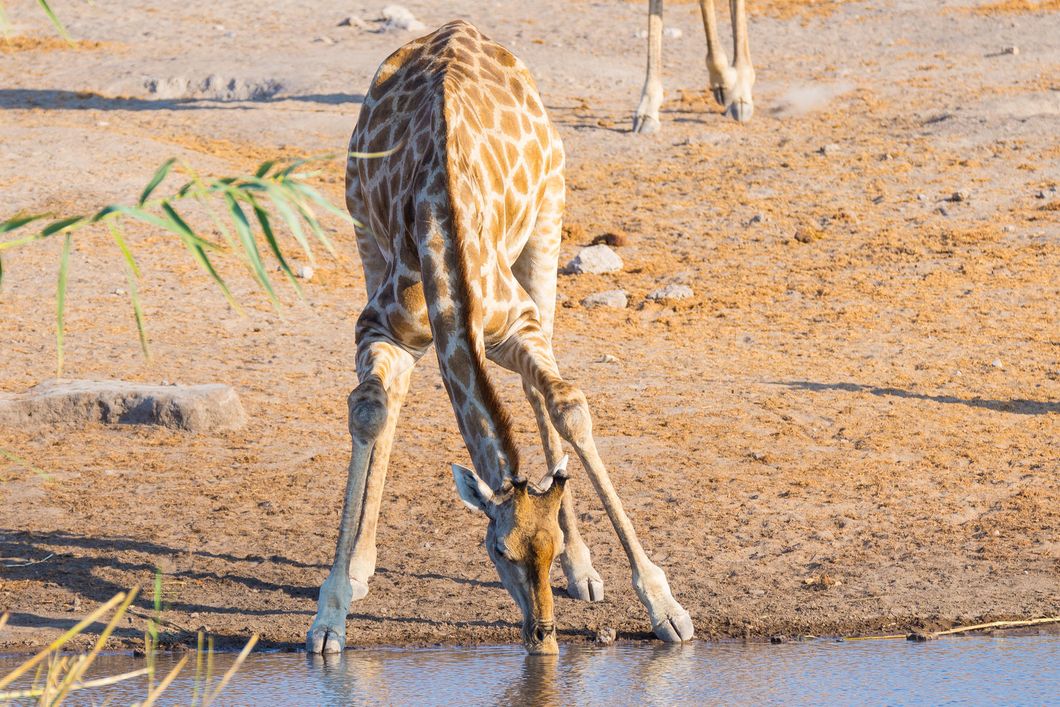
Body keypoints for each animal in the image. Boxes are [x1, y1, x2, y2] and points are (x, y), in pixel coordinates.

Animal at [306, 20, 694, 655]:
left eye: (548, 549)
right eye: (498, 551)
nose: (544, 637)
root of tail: (456, 28)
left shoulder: (517, 323)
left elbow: (568, 405)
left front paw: (664, 607)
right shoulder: (380, 327)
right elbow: (369, 409)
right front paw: (330, 613)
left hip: (547, 224)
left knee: (540, 389)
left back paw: (587, 572)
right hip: (363, 232)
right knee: (397, 394)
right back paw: (362, 565)